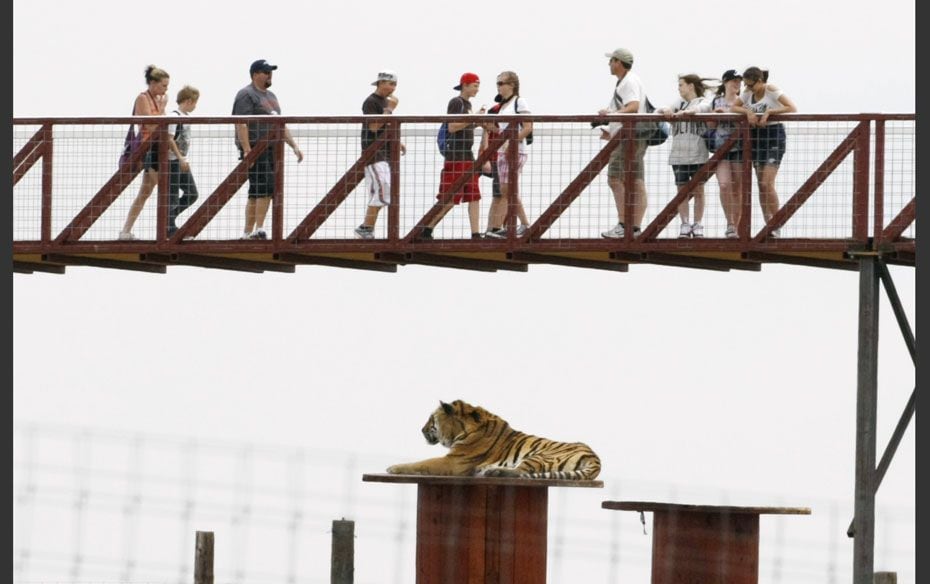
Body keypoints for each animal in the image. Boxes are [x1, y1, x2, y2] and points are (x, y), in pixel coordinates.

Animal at [386, 400, 600, 482]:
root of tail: (596, 459)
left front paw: (393, 468)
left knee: (520, 472)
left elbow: (421, 463)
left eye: (431, 419)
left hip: (541, 455)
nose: (421, 430)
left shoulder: (454, 462)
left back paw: (494, 471)